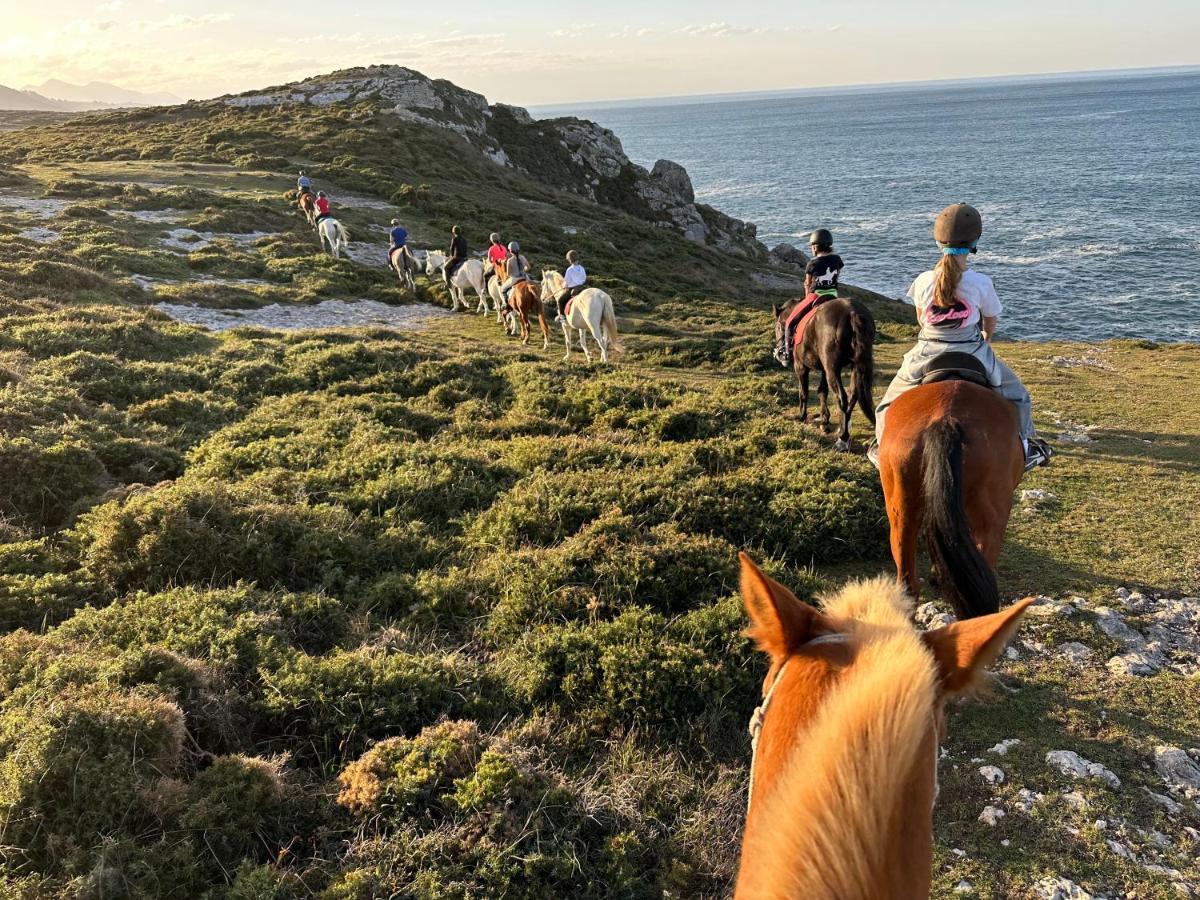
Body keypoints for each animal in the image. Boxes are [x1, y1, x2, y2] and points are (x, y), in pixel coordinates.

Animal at [772, 300, 878, 453]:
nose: (780, 354)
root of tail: (852, 313)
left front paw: (802, 416)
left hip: (832, 369)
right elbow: (822, 391)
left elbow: (803, 392)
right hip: (854, 367)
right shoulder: (824, 369)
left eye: (779, 326)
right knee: (852, 396)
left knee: (841, 398)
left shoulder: (801, 367)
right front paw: (824, 420)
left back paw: (843, 438)